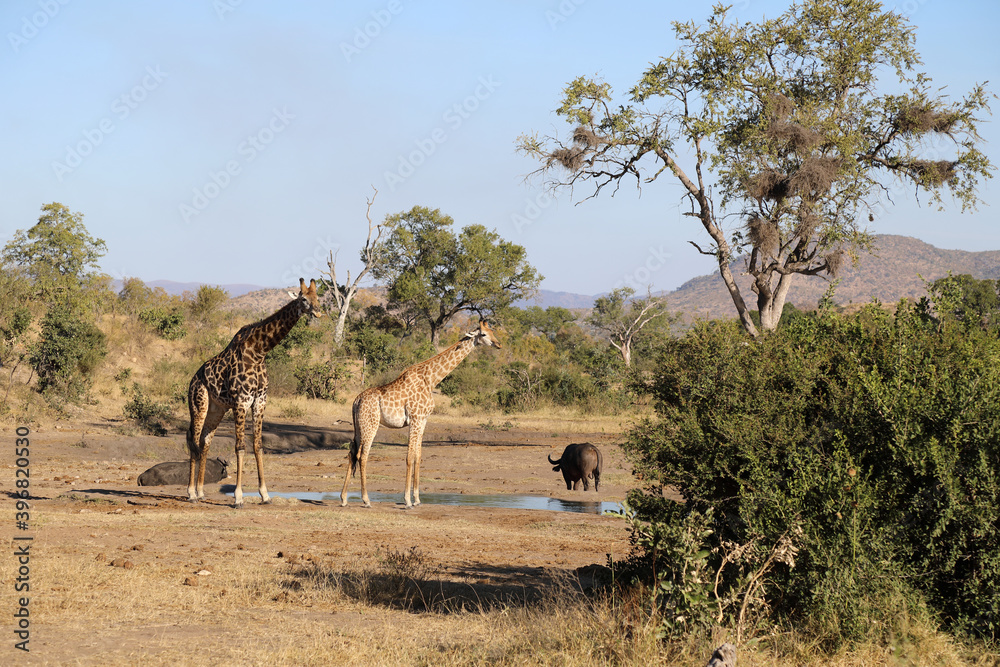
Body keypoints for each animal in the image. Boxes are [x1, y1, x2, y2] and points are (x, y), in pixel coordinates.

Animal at [187, 278, 323, 508]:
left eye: (318, 297)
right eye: (304, 299)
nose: (319, 311)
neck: (259, 352)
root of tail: (191, 381)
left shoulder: (260, 400)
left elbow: (258, 445)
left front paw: (265, 495)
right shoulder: (241, 401)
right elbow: (240, 447)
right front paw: (238, 497)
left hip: (216, 409)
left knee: (204, 442)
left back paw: (201, 491)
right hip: (199, 405)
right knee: (193, 440)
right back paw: (191, 493)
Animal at [341, 320, 502, 508]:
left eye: (492, 331)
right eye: (483, 334)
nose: (498, 344)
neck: (431, 380)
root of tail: (356, 401)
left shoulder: (423, 420)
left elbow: (418, 456)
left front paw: (417, 499)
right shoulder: (415, 419)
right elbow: (409, 457)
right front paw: (407, 500)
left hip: (359, 426)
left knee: (352, 453)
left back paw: (343, 498)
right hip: (371, 424)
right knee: (363, 456)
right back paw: (366, 499)